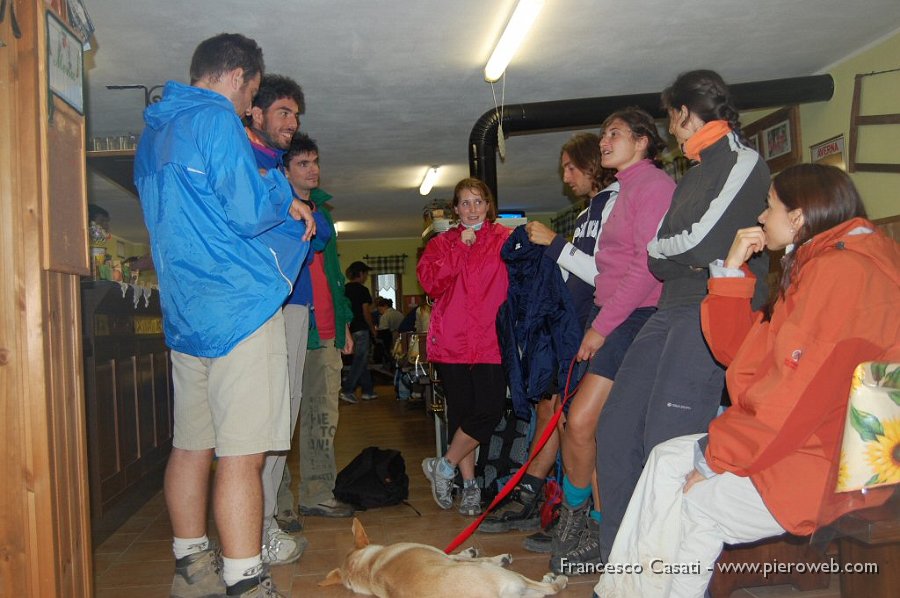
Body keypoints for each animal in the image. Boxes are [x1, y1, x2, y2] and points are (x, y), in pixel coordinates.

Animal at [320, 516, 568, 596]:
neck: (368, 566)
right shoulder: (444, 556)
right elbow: (464, 556)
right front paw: (497, 557)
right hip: (511, 578)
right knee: (548, 589)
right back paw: (557, 579)